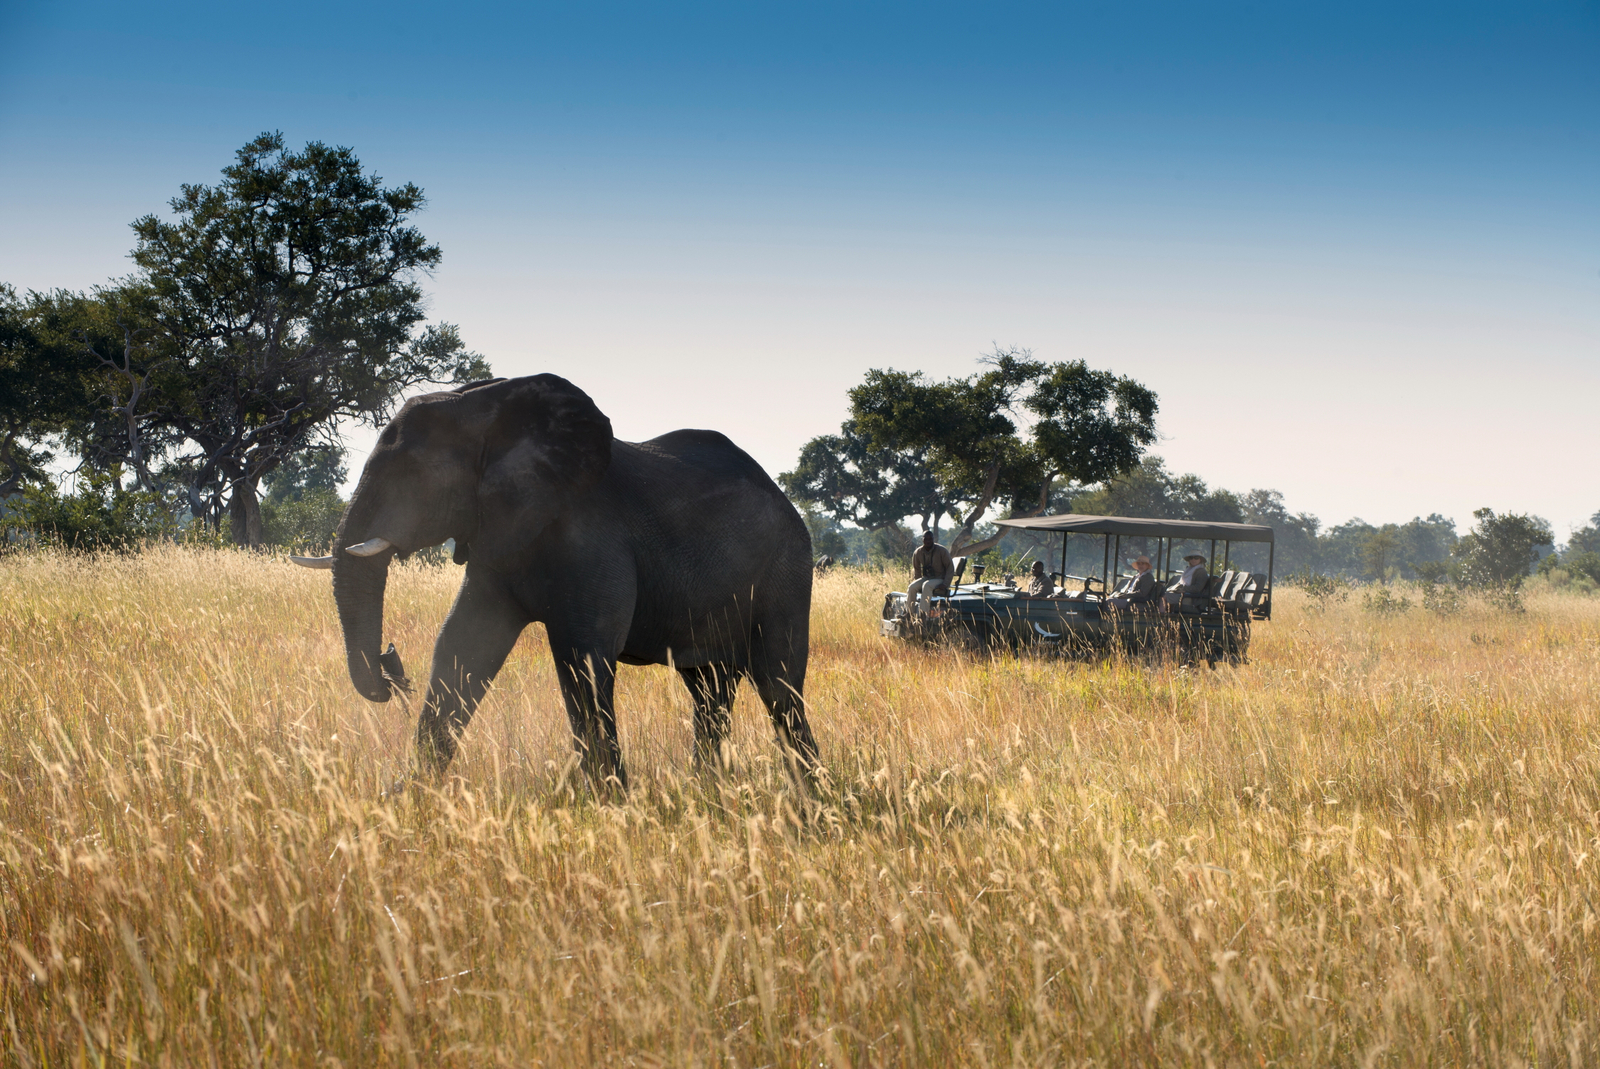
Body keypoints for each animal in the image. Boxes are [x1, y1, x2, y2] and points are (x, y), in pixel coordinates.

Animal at [291, 374, 818, 789]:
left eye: (410, 473)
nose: (391, 668)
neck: (484, 407)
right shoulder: (498, 536)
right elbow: (462, 647)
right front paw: (411, 796)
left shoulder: (591, 536)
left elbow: (582, 656)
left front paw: (611, 806)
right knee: (710, 690)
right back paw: (711, 794)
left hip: (787, 570)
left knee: (779, 685)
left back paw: (809, 801)